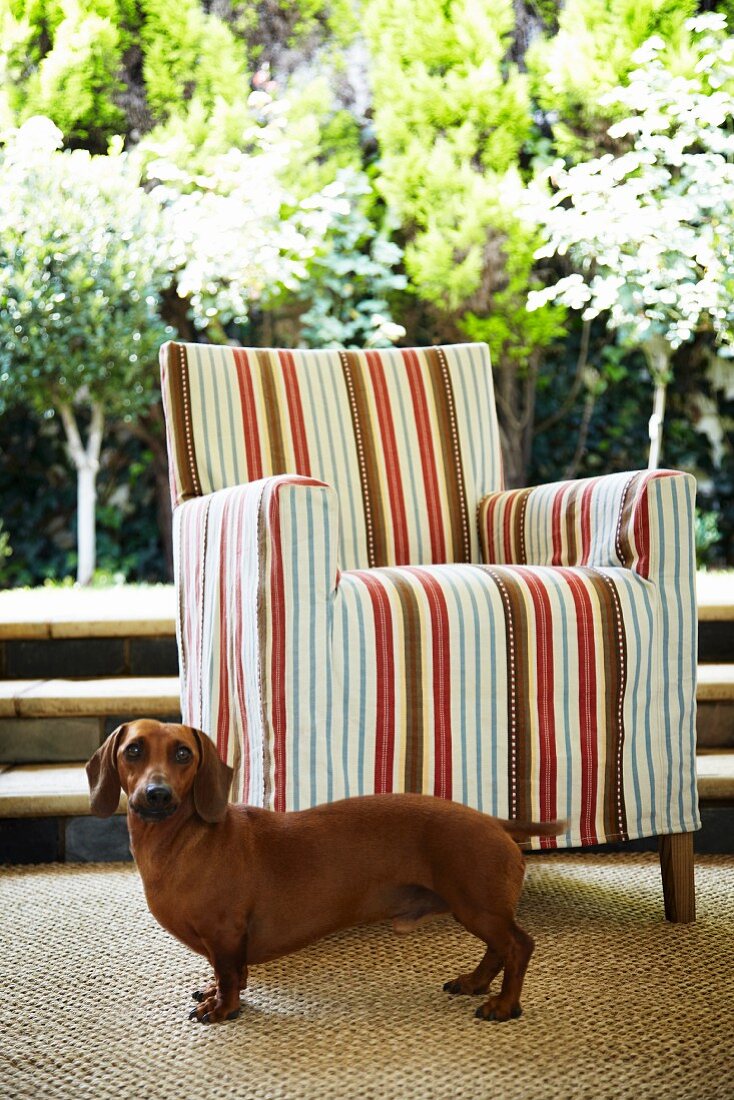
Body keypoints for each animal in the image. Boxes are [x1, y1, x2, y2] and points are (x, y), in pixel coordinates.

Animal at [87, 717, 563, 1025]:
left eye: (184, 753)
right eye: (133, 750)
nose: (157, 793)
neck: (182, 841)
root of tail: (493, 821)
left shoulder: (225, 932)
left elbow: (228, 975)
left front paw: (222, 1008)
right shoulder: (226, 941)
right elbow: (228, 973)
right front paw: (216, 992)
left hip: (477, 906)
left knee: (518, 946)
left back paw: (504, 1006)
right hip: (477, 910)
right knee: (499, 949)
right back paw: (476, 983)